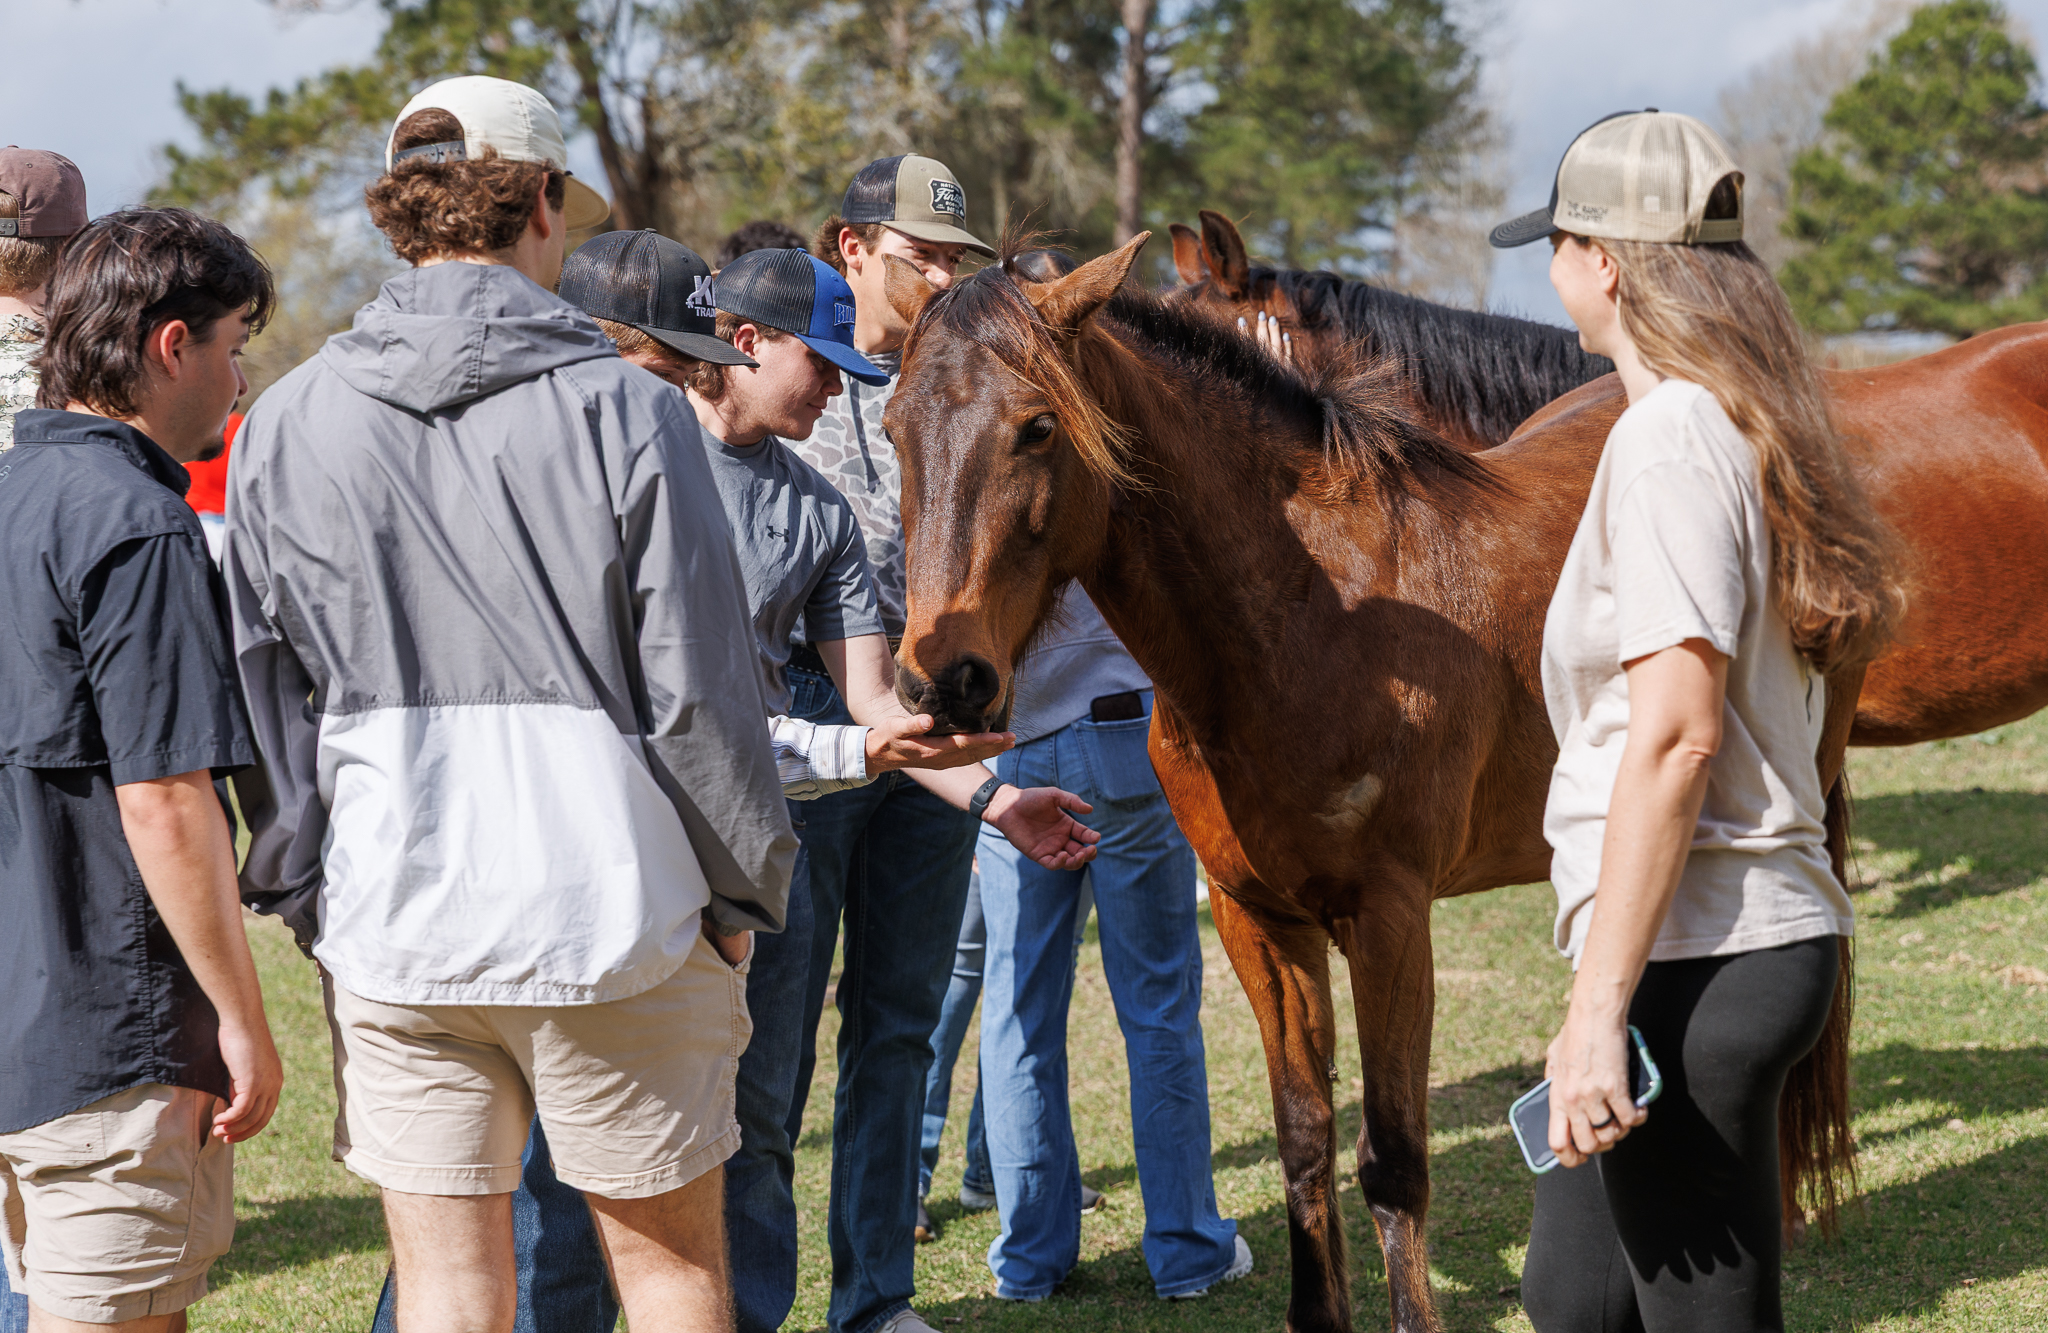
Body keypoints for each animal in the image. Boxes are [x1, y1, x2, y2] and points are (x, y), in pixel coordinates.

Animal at [879, 235, 1862, 1333]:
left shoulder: (1389, 921)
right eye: (891, 425)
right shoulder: (1258, 921)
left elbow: (1390, 1160)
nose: (942, 679)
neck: (1306, 616)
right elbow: (1304, 1141)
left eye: (1037, 426)